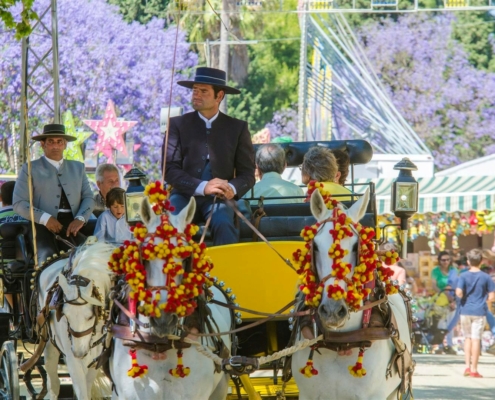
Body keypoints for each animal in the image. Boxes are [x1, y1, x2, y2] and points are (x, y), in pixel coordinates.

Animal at [38, 242, 115, 398]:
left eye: (90, 316)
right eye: (65, 316)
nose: (79, 353)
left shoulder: (96, 359)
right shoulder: (73, 360)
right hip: (50, 344)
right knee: (53, 383)